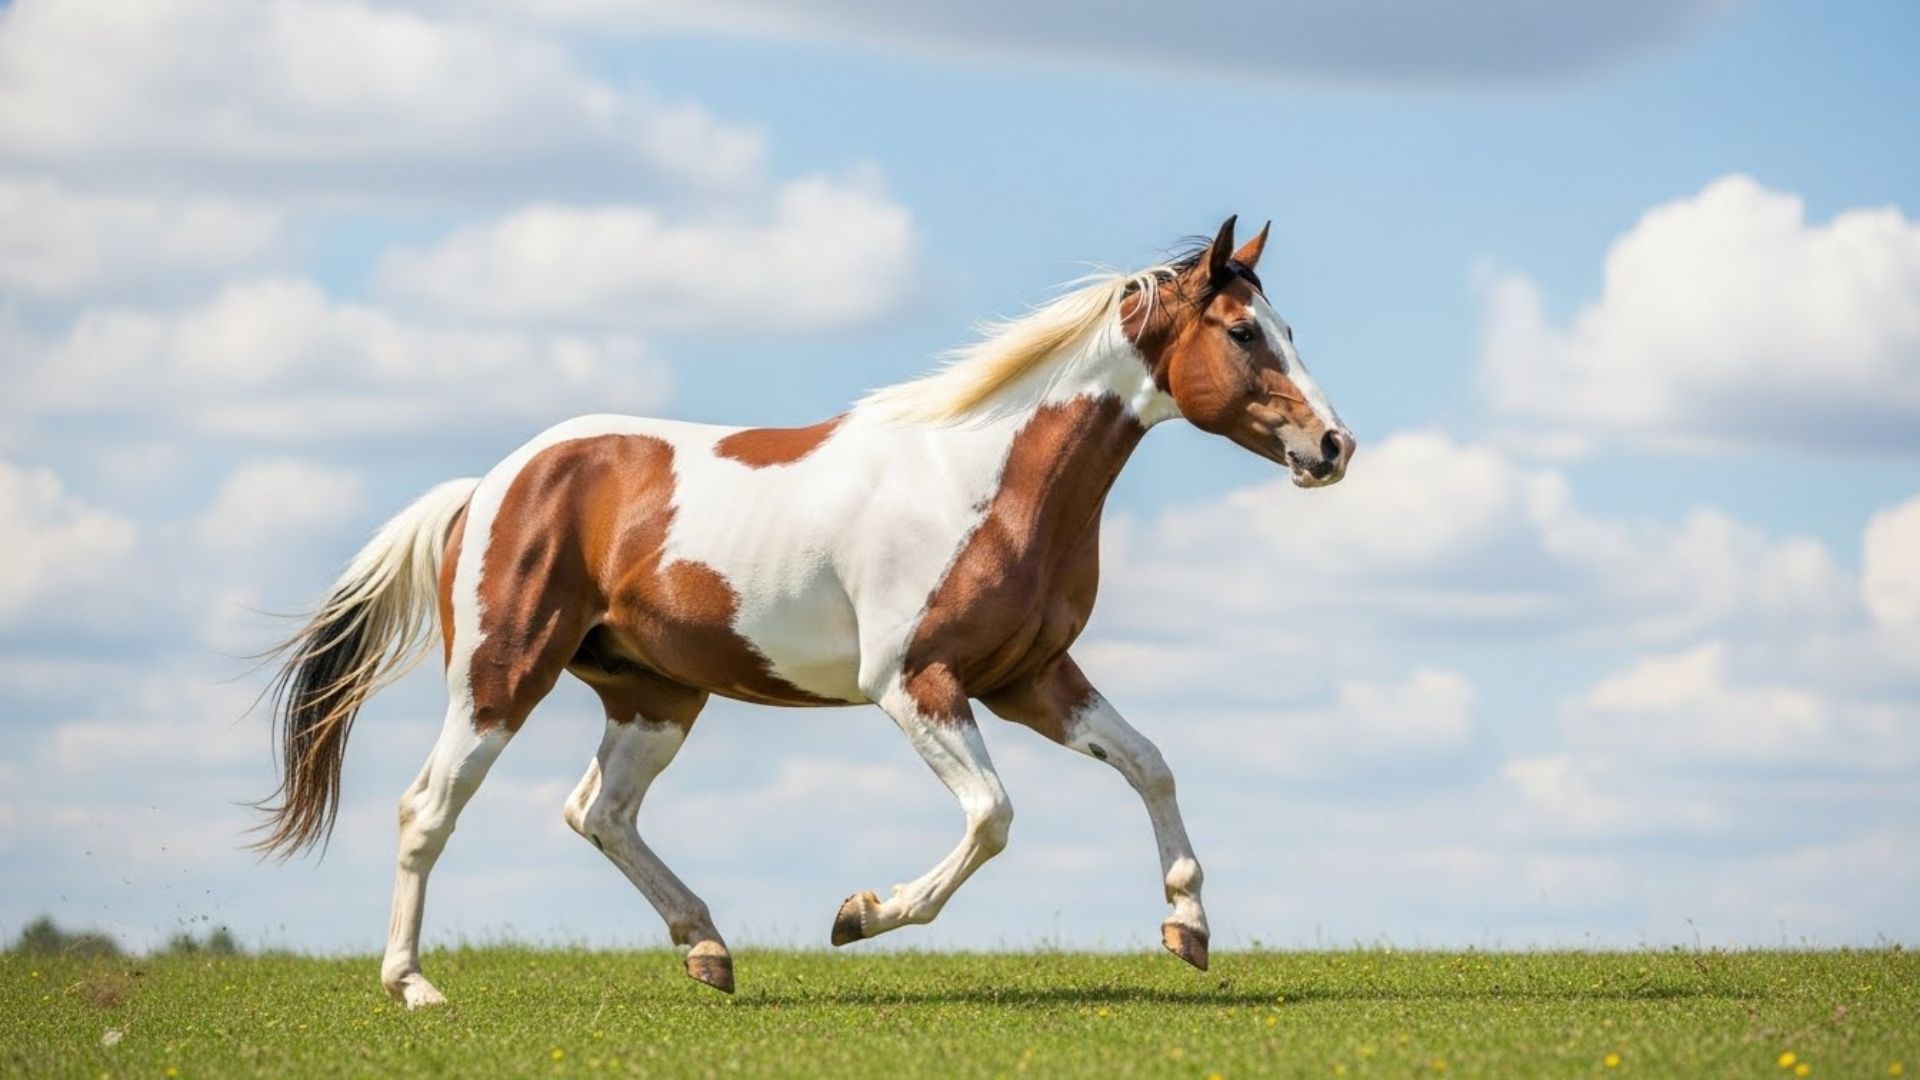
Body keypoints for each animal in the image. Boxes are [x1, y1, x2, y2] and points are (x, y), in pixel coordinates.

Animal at [254, 215, 1353, 1007]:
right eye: (1245, 332)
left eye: (1290, 331)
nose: (1334, 447)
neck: (984, 481)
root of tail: (488, 486)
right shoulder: (916, 684)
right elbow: (993, 817)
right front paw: (859, 914)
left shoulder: (1032, 680)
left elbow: (1150, 764)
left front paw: (1188, 928)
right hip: (500, 677)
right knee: (428, 807)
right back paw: (414, 987)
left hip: (655, 697)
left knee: (599, 811)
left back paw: (708, 950)